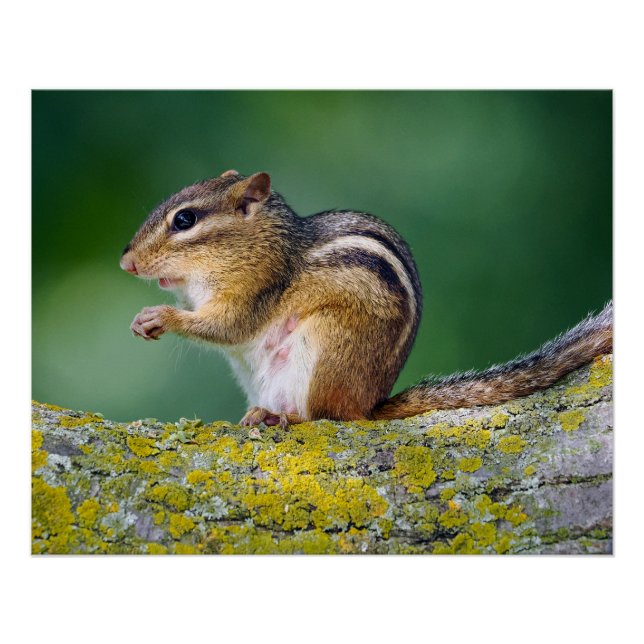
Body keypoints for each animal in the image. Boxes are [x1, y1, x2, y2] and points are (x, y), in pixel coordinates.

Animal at [120, 170, 613, 428]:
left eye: (185, 220)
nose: (126, 262)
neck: (261, 244)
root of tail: (371, 401)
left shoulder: (256, 288)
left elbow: (225, 326)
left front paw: (159, 316)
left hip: (327, 347)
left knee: (328, 417)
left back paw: (284, 419)